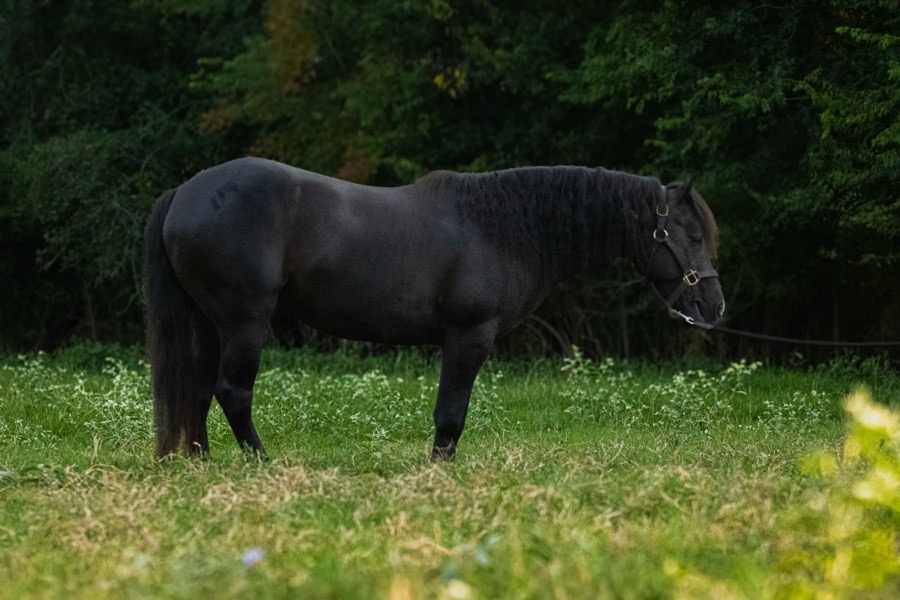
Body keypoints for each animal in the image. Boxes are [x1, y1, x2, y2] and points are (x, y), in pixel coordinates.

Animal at [143, 157, 724, 461]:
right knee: (232, 392)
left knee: (197, 391)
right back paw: (263, 464)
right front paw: (439, 472)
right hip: (245, 322)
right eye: (692, 236)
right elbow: (451, 415)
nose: (714, 307)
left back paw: (200, 462)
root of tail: (184, 192)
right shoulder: (468, 336)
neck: (500, 228)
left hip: (209, 324)